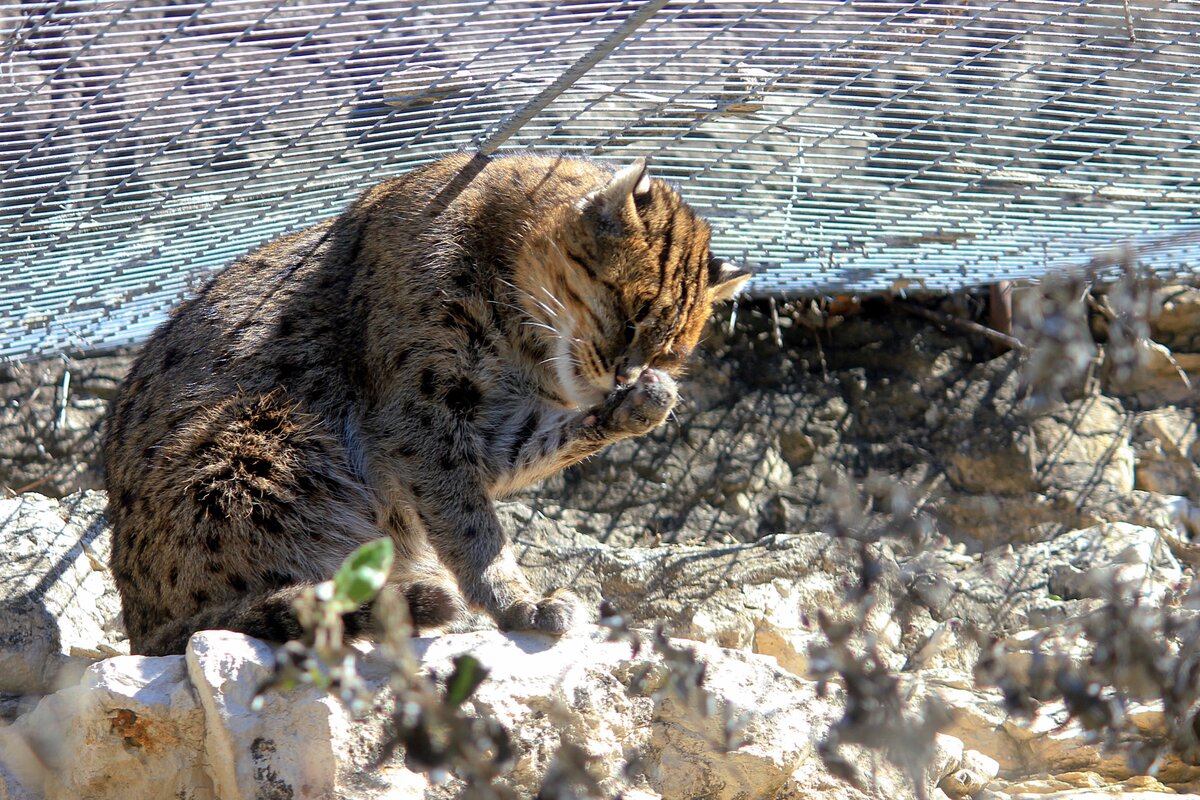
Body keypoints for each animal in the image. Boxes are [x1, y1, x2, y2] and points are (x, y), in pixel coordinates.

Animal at [110, 151, 748, 657]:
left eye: (672, 351)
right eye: (632, 314)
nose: (627, 375)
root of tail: (139, 627)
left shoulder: (475, 431)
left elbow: (536, 452)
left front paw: (647, 403)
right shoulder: (416, 420)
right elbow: (472, 529)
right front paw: (515, 603)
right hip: (265, 441)